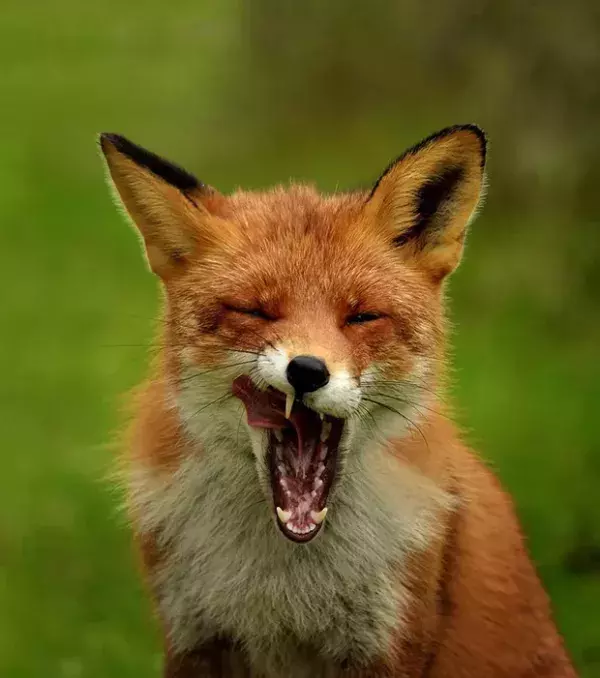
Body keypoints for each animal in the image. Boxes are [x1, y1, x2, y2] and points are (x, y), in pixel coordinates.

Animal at [99, 125, 577, 678]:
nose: (307, 370)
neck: (286, 583)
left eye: (361, 317)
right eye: (255, 311)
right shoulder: (193, 639)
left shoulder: (388, 644)